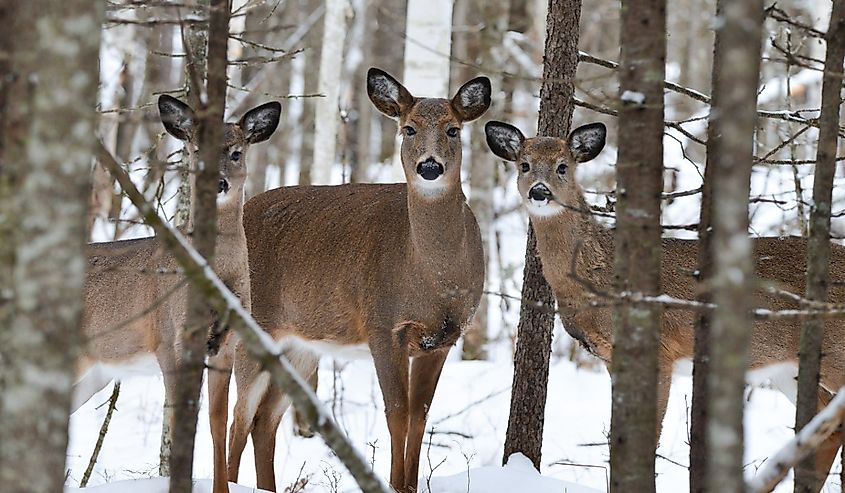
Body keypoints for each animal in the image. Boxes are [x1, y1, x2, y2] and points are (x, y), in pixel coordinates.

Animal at [76, 93, 280, 492]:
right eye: (195, 149)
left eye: (236, 152)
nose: (218, 183)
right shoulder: (169, 339)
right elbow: (177, 419)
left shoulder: (227, 344)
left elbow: (217, 422)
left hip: (94, 369)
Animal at [227, 68, 492, 492]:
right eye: (408, 129)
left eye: (453, 130)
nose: (429, 167)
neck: (433, 279)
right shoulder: (383, 325)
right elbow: (397, 414)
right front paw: (393, 484)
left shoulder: (443, 339)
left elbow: (420, 416)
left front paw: (410, 484)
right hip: (251, 327)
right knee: (239, 418)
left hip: (300, 344)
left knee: (264, 421)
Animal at [484, 121, 844, 486]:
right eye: (524, 165)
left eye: (562, 166)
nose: (539, 192)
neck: (598, 278)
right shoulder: (610, 357)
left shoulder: (660, 349)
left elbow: (644, 440)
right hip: (788, 368)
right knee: (825, 427)